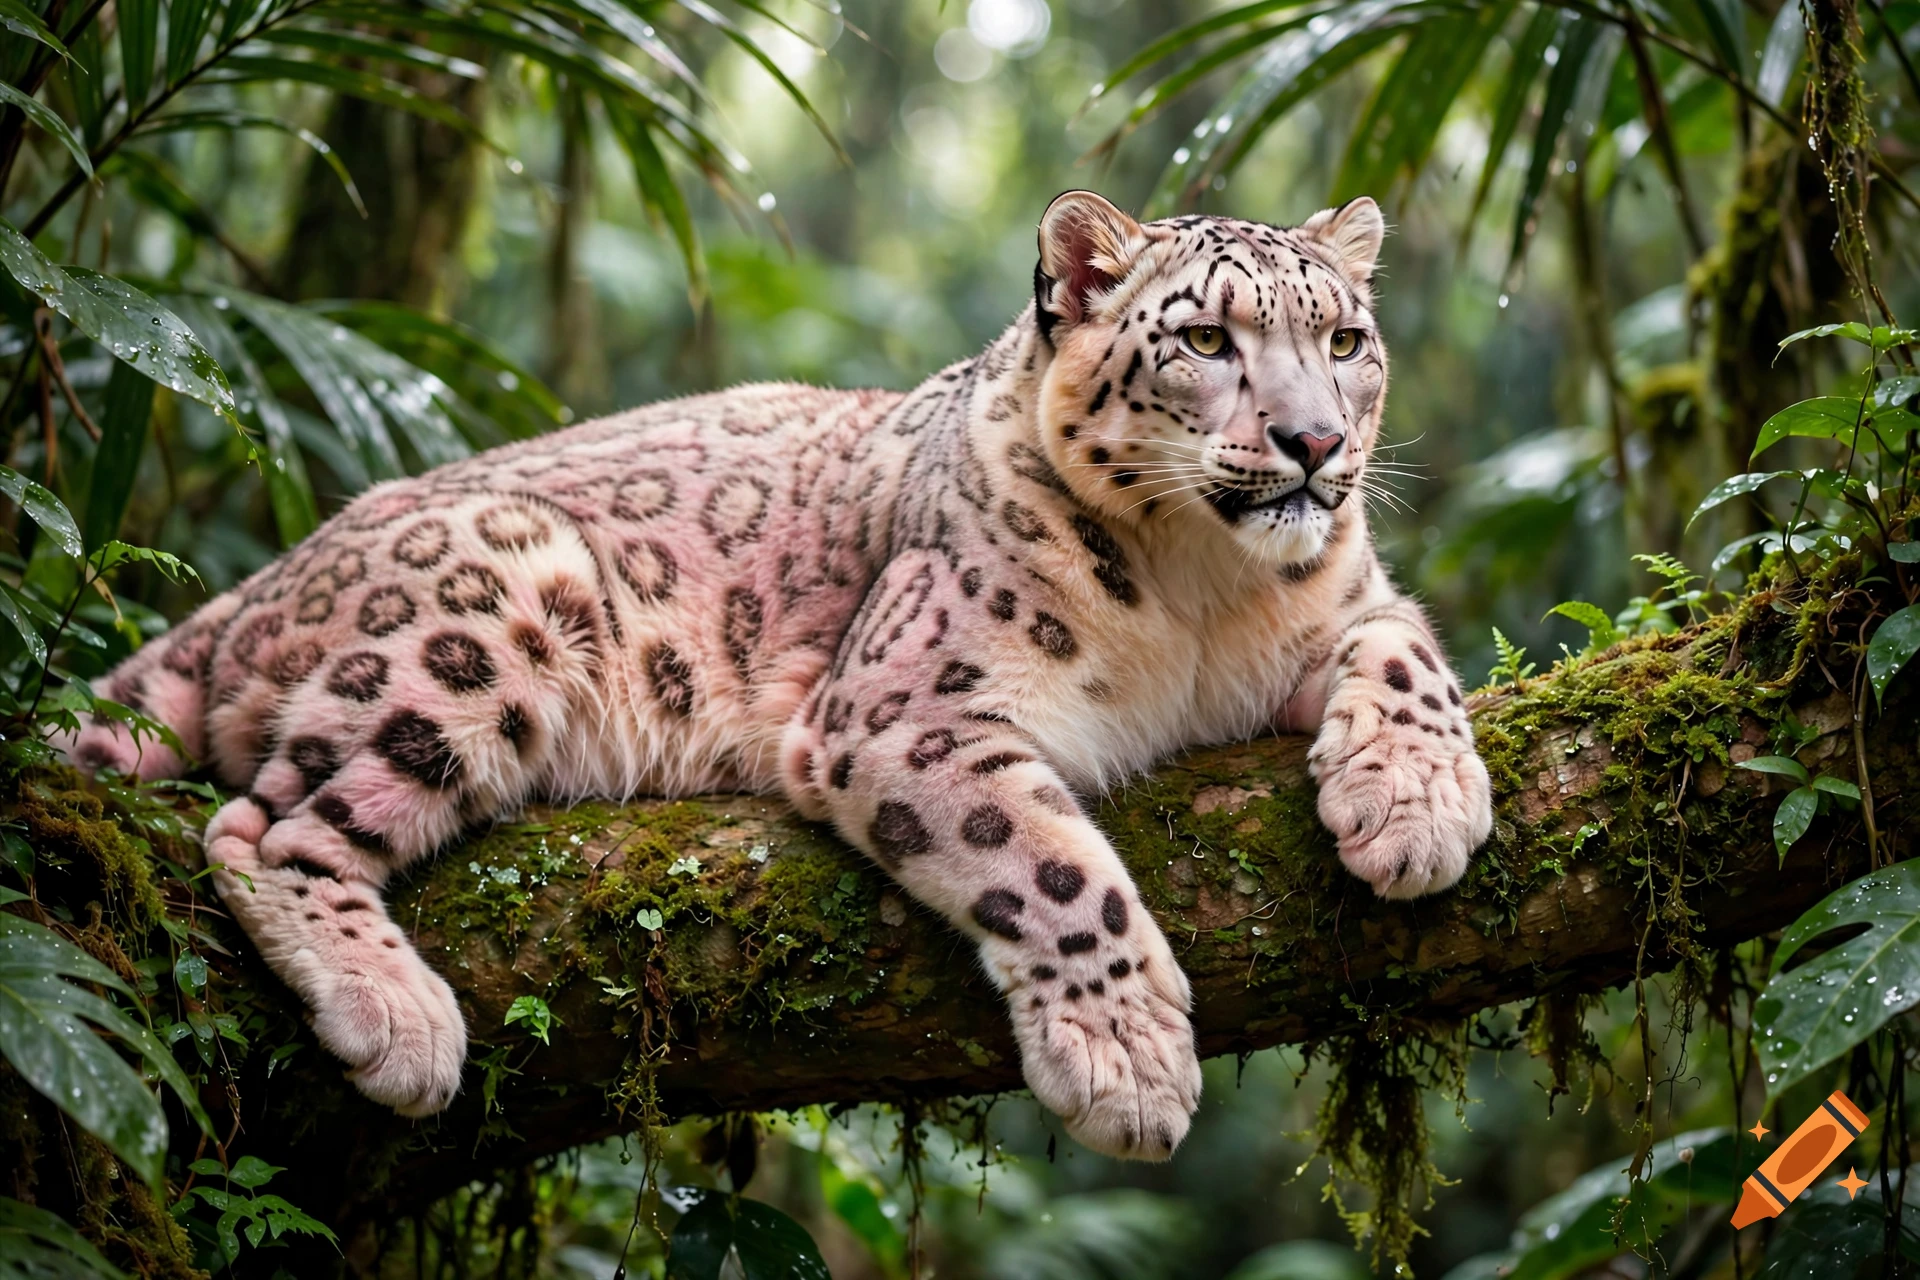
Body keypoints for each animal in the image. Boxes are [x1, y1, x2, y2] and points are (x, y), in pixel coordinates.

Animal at [56, 190, 1493, 1161]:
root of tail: (274, 573)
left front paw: (1415, 807)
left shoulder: (1350, 602)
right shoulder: (908, 705)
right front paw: (1128, 1059)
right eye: (1205, 340)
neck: (1203, 593)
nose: (1314, 443)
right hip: (489, 610)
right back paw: (397, 1018)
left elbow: (1411, 647)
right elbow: (1051, 867)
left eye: (1346, 339)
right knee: (263, 828)